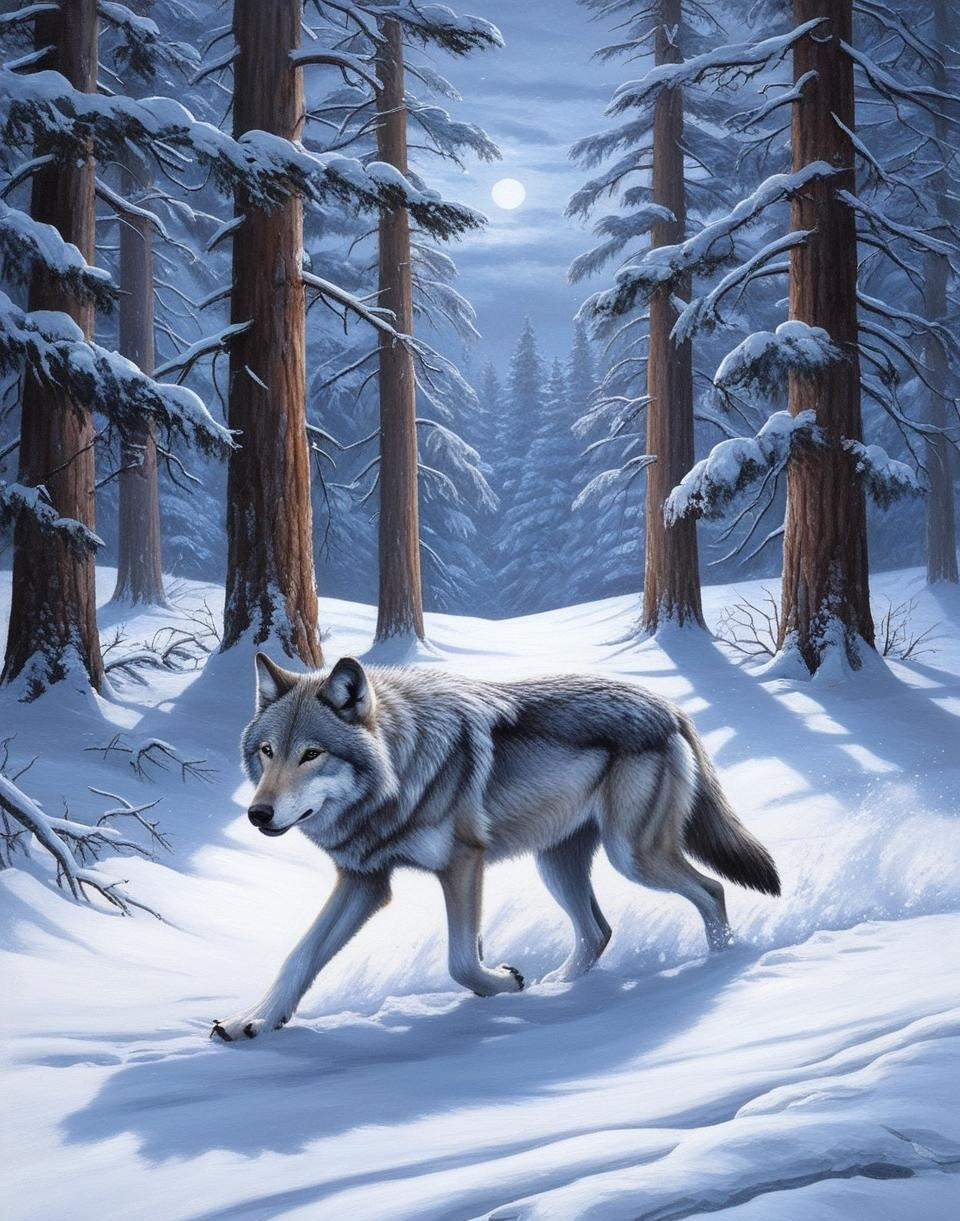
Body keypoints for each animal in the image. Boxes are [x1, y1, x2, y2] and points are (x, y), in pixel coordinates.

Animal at [211, 653, 780, 1041]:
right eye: (268, 751)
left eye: (312, 754)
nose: (258, 814)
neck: (402, 769)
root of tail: (670, 706)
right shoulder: (365, 881)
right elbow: (300, 955)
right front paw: (253, 1020)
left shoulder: (463, 863)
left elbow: (461, 962)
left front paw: (505, 982)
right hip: (557, 863)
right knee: (598, 931)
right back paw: (559, 990)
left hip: (633, 858)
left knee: (711, 891)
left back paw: (717, 967)